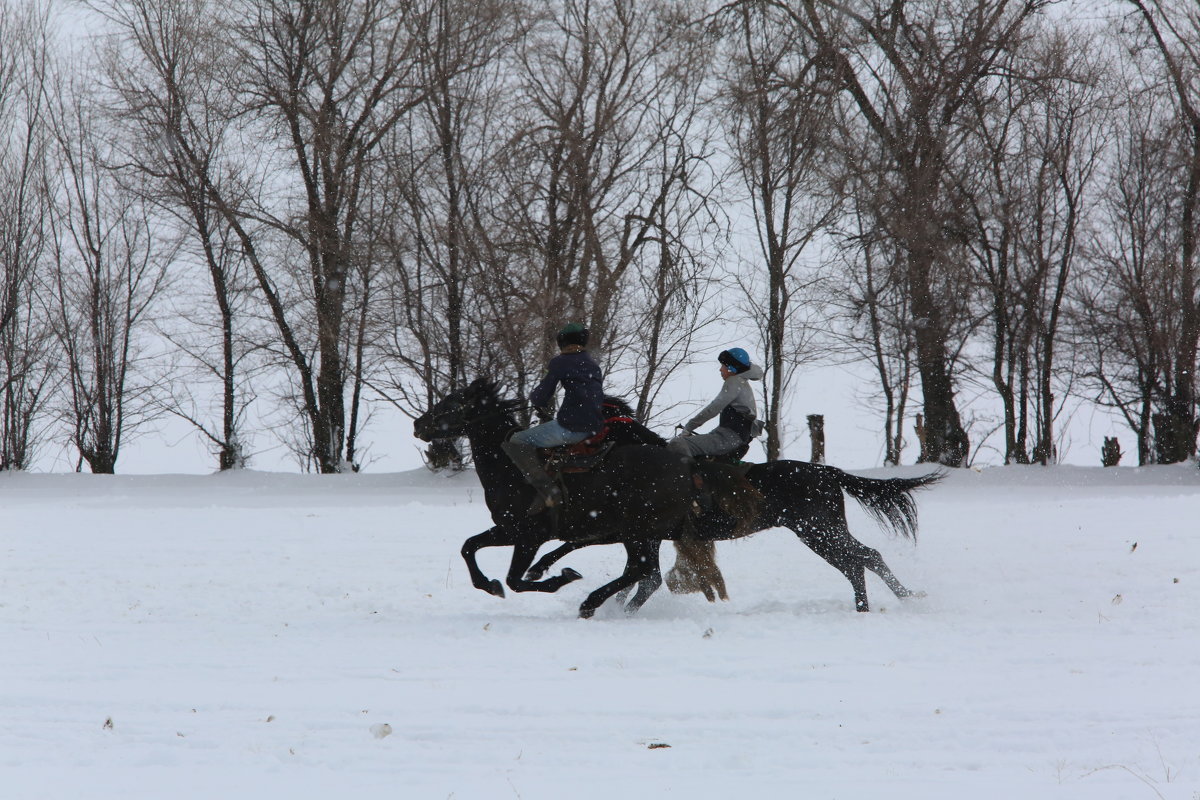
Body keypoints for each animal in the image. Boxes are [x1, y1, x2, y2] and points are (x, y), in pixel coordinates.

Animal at [408, 381, 753, 618]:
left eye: (452, 402)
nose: (418, 424)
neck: (511, 466)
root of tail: (687, 468)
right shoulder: (509, 530)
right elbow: (469, 547)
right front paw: (490, 585)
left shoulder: (528, 535)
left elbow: (514, 578)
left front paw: (560, 578)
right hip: (644, 534)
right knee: (646, 575)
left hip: (638, 532)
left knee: (640, 572)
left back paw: (590, 603)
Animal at [528, 450, 945, 614]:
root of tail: (828, 472)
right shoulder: (638, 534)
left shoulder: (633, 531)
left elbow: (585, 546)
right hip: (818, 534)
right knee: (857, 562)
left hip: (818, 531)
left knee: (863, 558)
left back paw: (895, 599)